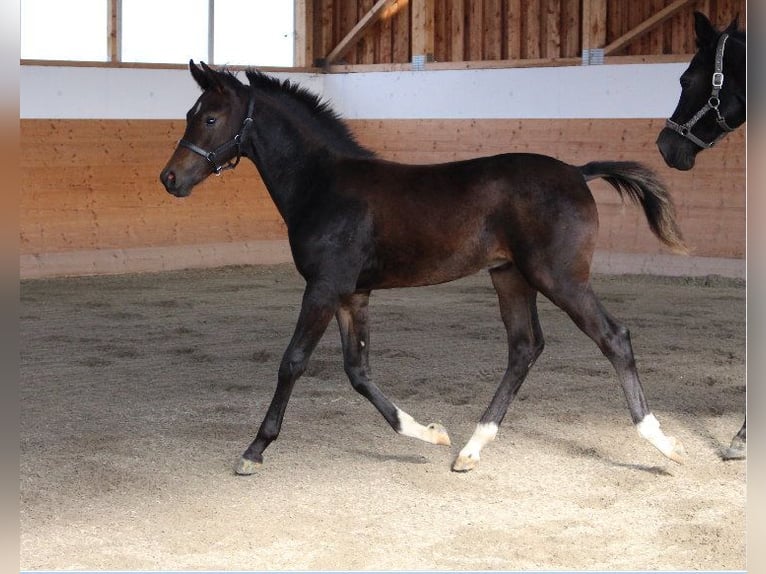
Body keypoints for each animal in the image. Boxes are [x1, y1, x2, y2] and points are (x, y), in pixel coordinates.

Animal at [161, 61, 688, 474]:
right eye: (189, 114)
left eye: (210, 117)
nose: (170, 179)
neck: (324, 184)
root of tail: (578, 172)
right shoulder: (352, 293)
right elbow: (358, 370)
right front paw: (430, 432)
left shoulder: (324, 288)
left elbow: (292, 362)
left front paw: (254, 450)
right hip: (510, 276)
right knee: (524, 347)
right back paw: (471, 448)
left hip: (560, 278)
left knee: (613, 338)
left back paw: (663, 443)